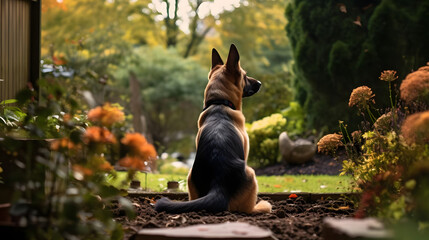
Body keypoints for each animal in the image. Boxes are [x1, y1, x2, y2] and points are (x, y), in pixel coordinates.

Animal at [154, 44, 270, 213]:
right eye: (245, 75)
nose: (260, 83)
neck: (219, 102)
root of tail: (218, 186)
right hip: (251, 173)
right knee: (248, 209)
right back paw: (260, 207)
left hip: (190, 177)